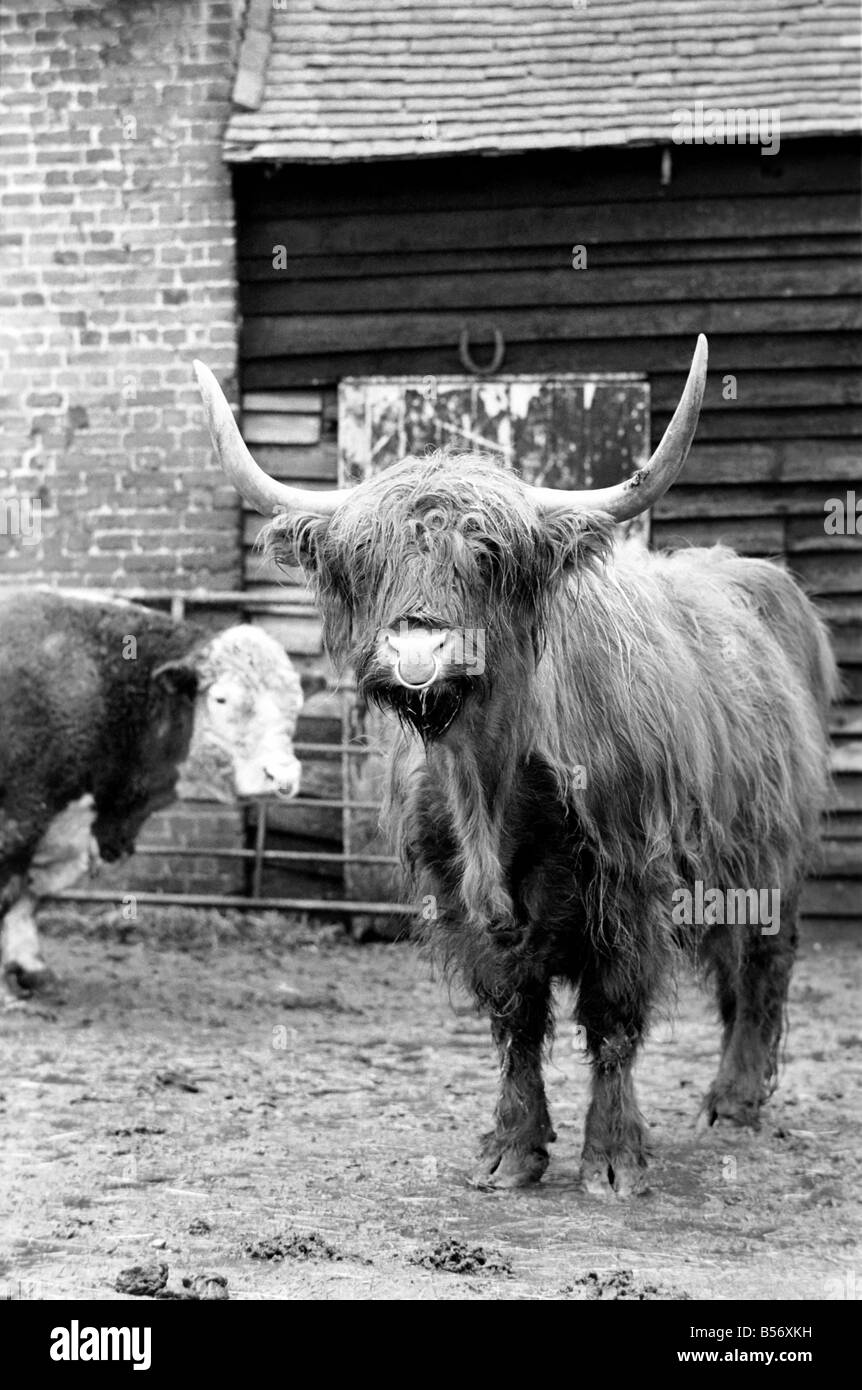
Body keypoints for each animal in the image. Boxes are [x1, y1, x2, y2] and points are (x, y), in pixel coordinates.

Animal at [0, 589, 303, 994]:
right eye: (221, 699)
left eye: (295, 704)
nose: (281, 774)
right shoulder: (19, 820)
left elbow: (29, 898)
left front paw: (31, 966)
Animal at [194, 337, 838, 1196]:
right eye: (367, 556)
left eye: (487, 554)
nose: (419, 648)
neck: (487, 791)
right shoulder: (457, 898)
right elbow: (515, 1018)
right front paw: (513, 1148)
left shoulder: (630, 885)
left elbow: (612, 1018)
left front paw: (614, 1158)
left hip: (774, 856)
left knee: (765, 962)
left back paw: (734, 1100)